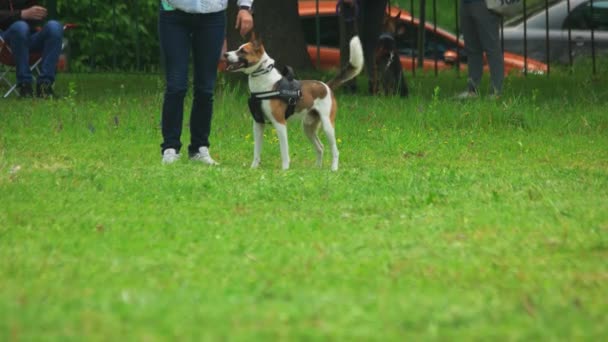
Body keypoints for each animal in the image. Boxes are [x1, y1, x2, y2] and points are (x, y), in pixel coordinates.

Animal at [224, 34, 364, 170]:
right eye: (238, 48)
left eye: (243, 51)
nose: (225, 54)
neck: (265, 84)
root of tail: (326, 86)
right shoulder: (258, 124)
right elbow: (256, 151)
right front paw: (253, 168)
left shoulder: (280, 123)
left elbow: (284, 151)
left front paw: (285, 170)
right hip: (308, 128)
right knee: (320, 147)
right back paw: (317, 168)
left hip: (327, 126)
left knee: (335, 150)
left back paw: (334, 169)